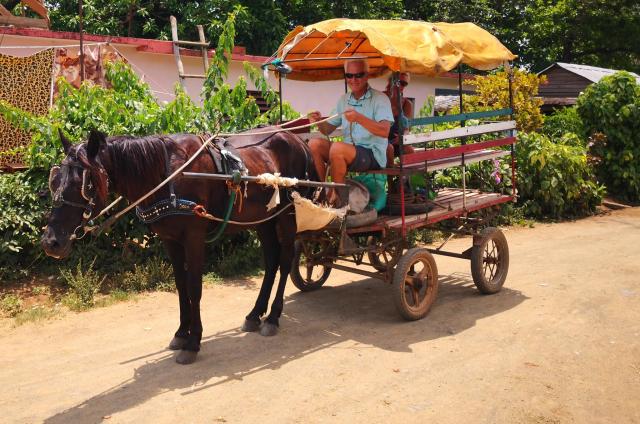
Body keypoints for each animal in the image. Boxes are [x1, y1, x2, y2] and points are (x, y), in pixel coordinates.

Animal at [41, 128, 318, 364]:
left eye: (83, 184)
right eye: (54, 181)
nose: (50, 242)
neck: (168, 175)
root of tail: (298, 141)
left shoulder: (193, 237)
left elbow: (194, 288)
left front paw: (193, 343)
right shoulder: (171, 240)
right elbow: (180, 286)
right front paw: (181, 333)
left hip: (287, 215)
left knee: (285, 260)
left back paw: (273, 317)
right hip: (263, 219)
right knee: (271, 261)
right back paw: (255, 314)